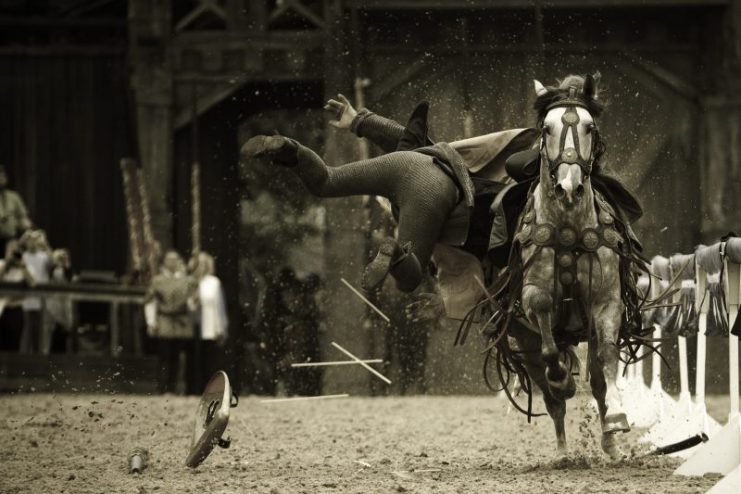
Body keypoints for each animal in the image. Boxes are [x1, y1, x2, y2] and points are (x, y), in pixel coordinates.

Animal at [506, 74, 632, 460]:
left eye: (590, 127)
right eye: (546, 129)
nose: (568, 187)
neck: (568, 228)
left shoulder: (606, 302)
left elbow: (606, 360)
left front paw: (617, 418)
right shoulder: (532, 299)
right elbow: (544, 316)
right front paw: (561, 379)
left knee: (596, 380)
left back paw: (610, 443)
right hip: (523, 340)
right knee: (550, 396)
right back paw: (562, 451)